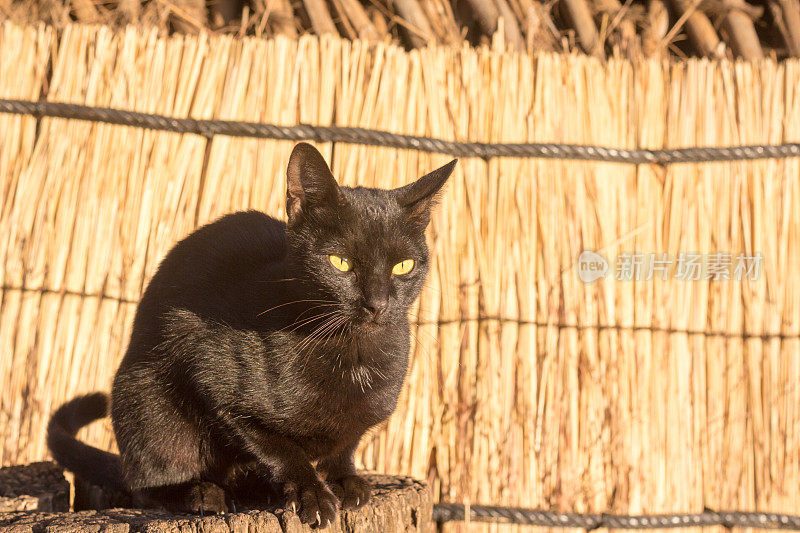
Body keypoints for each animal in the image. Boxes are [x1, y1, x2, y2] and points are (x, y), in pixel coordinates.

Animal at [47, 142, 456, 528]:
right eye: (340, 262)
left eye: (403, 266)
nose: (377, 303)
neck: (352, 355)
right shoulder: (215, 379)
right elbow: (279, 447)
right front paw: (312, 494)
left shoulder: (366, 413)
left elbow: (346, 442)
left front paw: (343, 480)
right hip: (147, 400)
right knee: (146, 482)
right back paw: (203, 493)